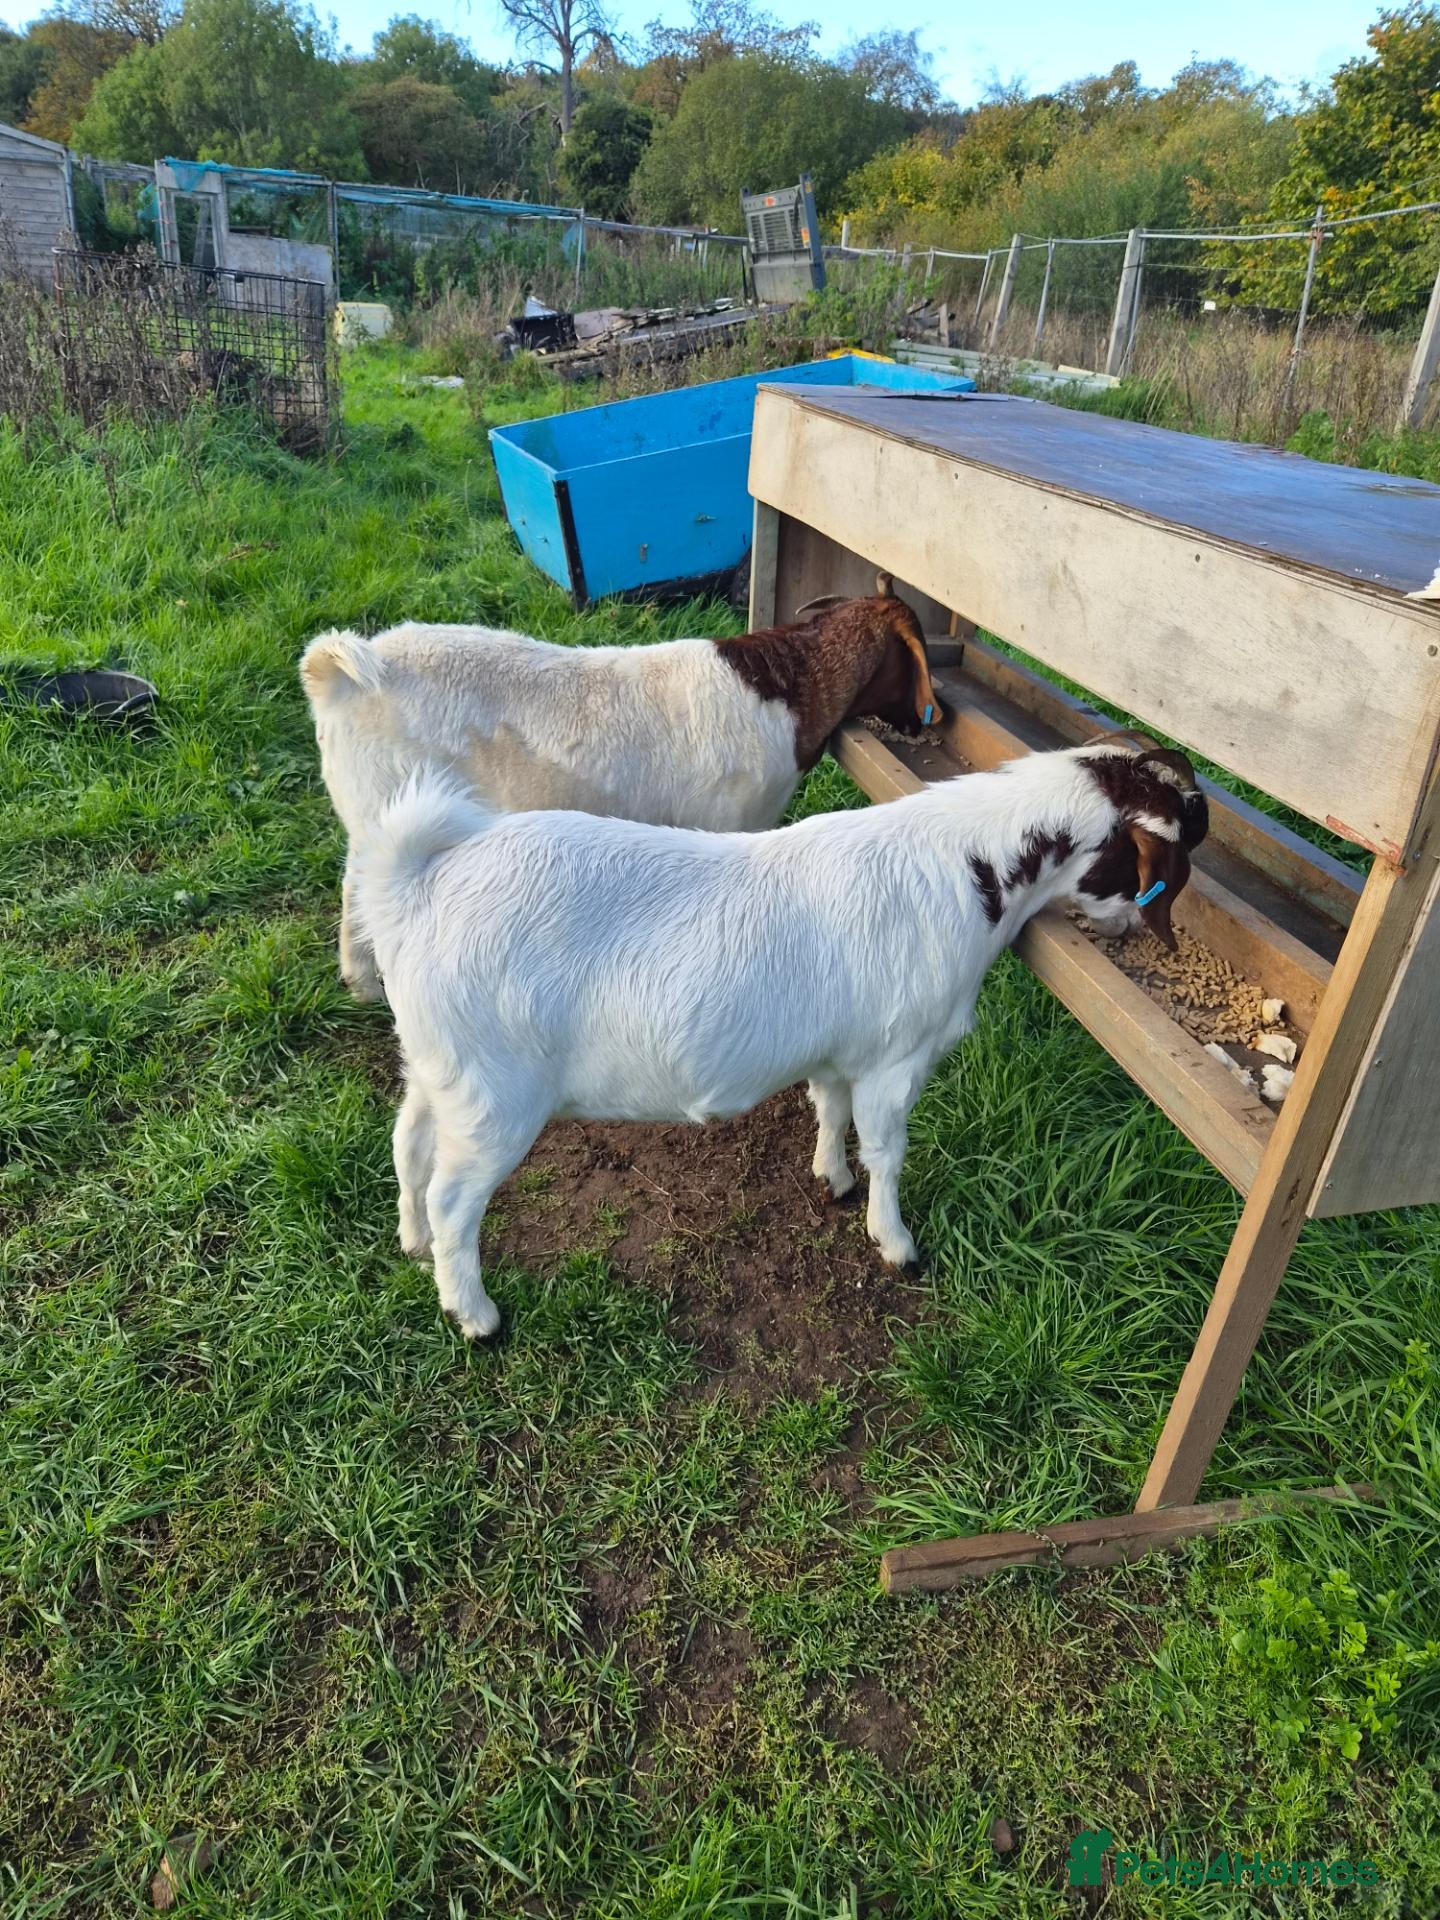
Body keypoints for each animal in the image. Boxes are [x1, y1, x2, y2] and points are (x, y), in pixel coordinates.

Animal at [353, 739, 1208, 1340]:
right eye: (1152, 863)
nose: (1131, 930)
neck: (972, 869)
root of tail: (415, 886)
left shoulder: (840, 1050)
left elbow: (829, 1110)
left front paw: (831, 1178)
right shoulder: (896, 1057)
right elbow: (888, 1150)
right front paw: (895, 1241)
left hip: (440, 1064)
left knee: (408, 1142)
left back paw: (412, 1242)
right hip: (497, 1091)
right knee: (455, 1195)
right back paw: (475, 1316)